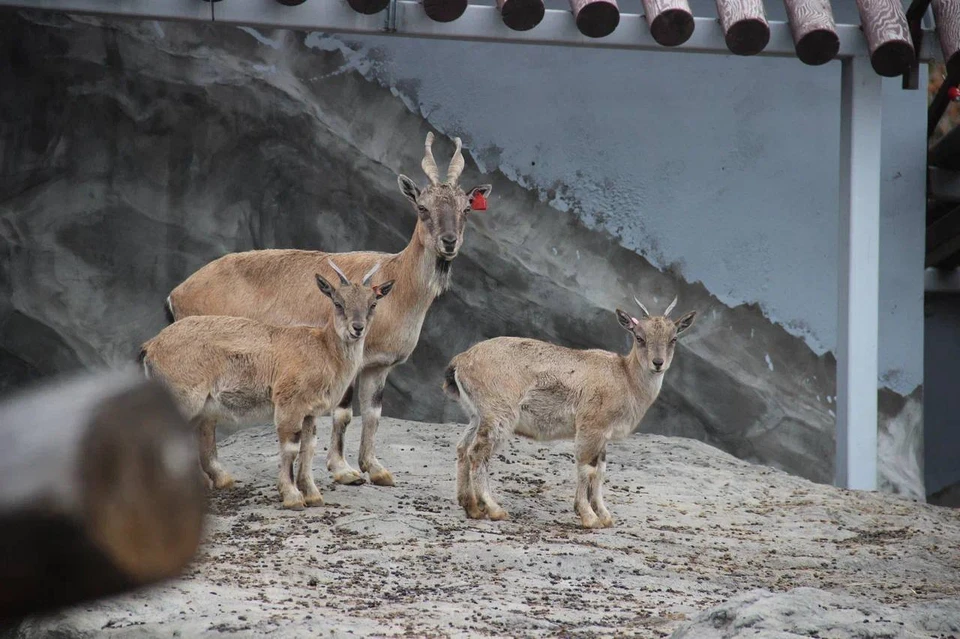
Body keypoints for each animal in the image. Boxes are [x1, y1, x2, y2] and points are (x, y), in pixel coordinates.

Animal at [140, 260, 394, 510]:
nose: (357, 328)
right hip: (183, 398)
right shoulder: (289, 404)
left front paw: (312, 495)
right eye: (338, 303)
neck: (324, 351)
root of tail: (151, 346)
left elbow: (309, 447)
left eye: (372, 304)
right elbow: (290, 447)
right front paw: (292, 496)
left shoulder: (310, 412)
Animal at [442, 298, 696, 528]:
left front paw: (605, 516)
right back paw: (494, 509)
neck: (626, 378)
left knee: (463, 448)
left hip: (477, 415)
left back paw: (471, 507)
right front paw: (589, 517)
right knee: (478, 453)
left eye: (673, 339)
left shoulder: (603, 436)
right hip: (499, 413)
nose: (658, 363)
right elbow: (586, 468)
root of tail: (461, 361)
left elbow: (600, 471)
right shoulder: (590, 426)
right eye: (640, 337)